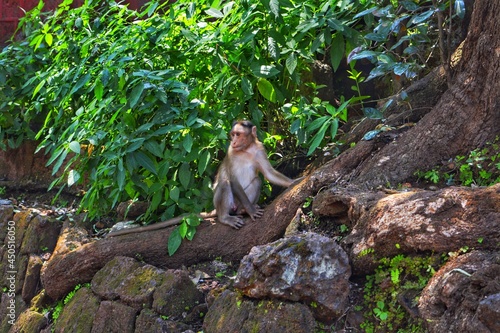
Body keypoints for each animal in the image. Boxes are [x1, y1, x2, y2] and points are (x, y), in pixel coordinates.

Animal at [105, 119, 292, 236]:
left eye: (238, 134)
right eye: (232, 135)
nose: (233, 141)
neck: (245, 149)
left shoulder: (259, 149)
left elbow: (268, 173)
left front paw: (293, 182)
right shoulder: (231, 153)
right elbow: (232, 180)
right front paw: (252, 211)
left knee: (258, 180)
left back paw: (244, 210)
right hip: (226, 203)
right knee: (225, 184)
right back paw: (227, 217)